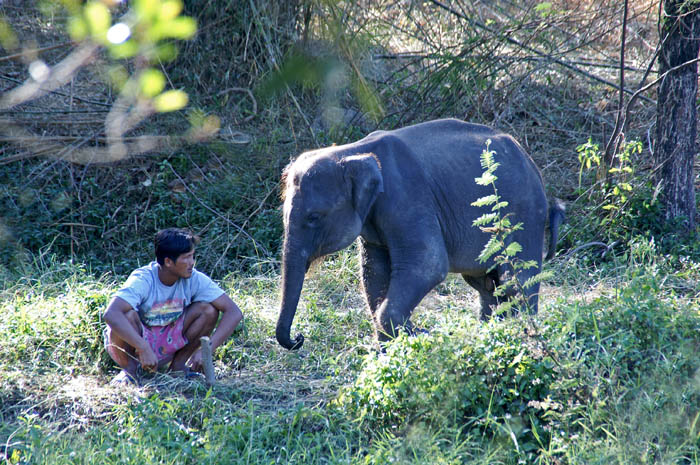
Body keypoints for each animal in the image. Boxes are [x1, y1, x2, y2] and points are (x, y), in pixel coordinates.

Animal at [276, 118, 565, 350]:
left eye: (314, 218)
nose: (298, 338)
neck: (352, 151)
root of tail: (534, 167)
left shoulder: (408, 197)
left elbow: (429, 264)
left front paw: (409, 338)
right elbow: (373, 271)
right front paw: (389, 349)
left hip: (524, 216)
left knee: (516, 281)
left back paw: (523, 336)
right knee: (486, 284)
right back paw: (490, 333)